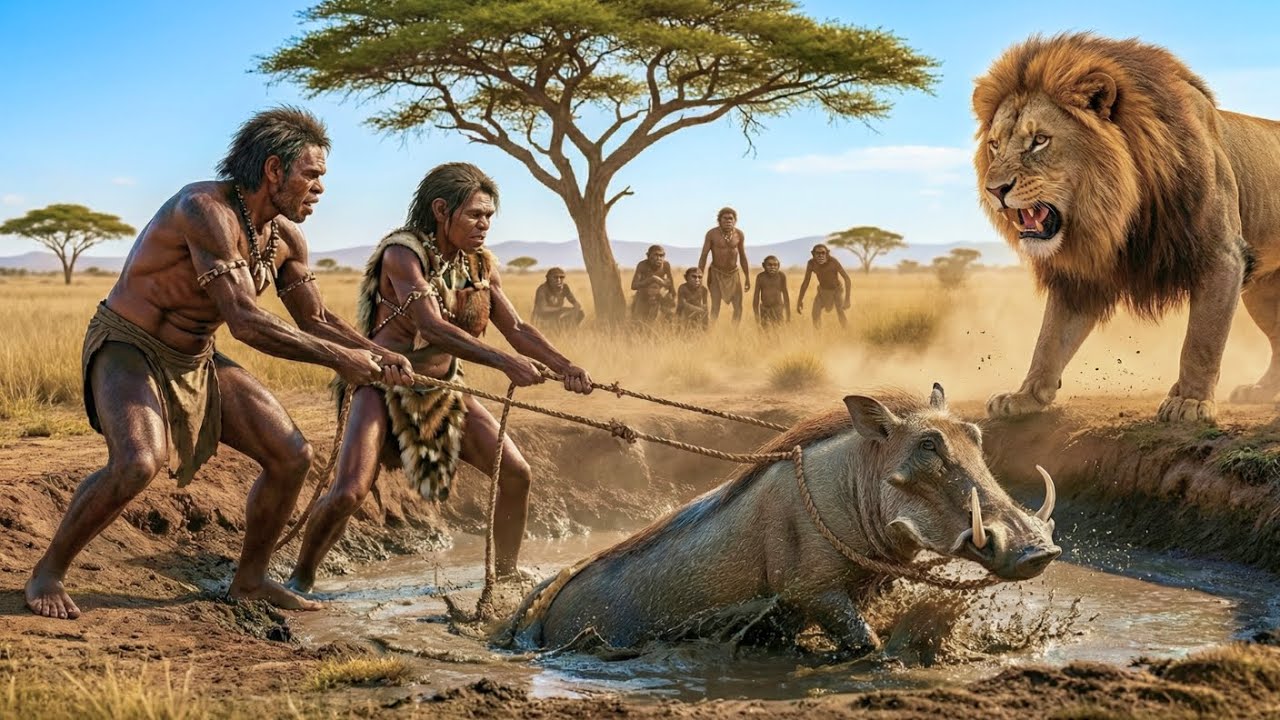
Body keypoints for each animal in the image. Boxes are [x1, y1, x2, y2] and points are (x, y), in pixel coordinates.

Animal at [973, 33, 1280, 423]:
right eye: (994, 145)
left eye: (1039, 140)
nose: (994, 190)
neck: (1120, 209)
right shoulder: (1082, 275)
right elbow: (1050, 338)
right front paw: (1025, 396)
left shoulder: (1222, 256)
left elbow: (1201, 341)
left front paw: (1190, 401)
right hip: (1263, 292)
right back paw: (1263, 390)